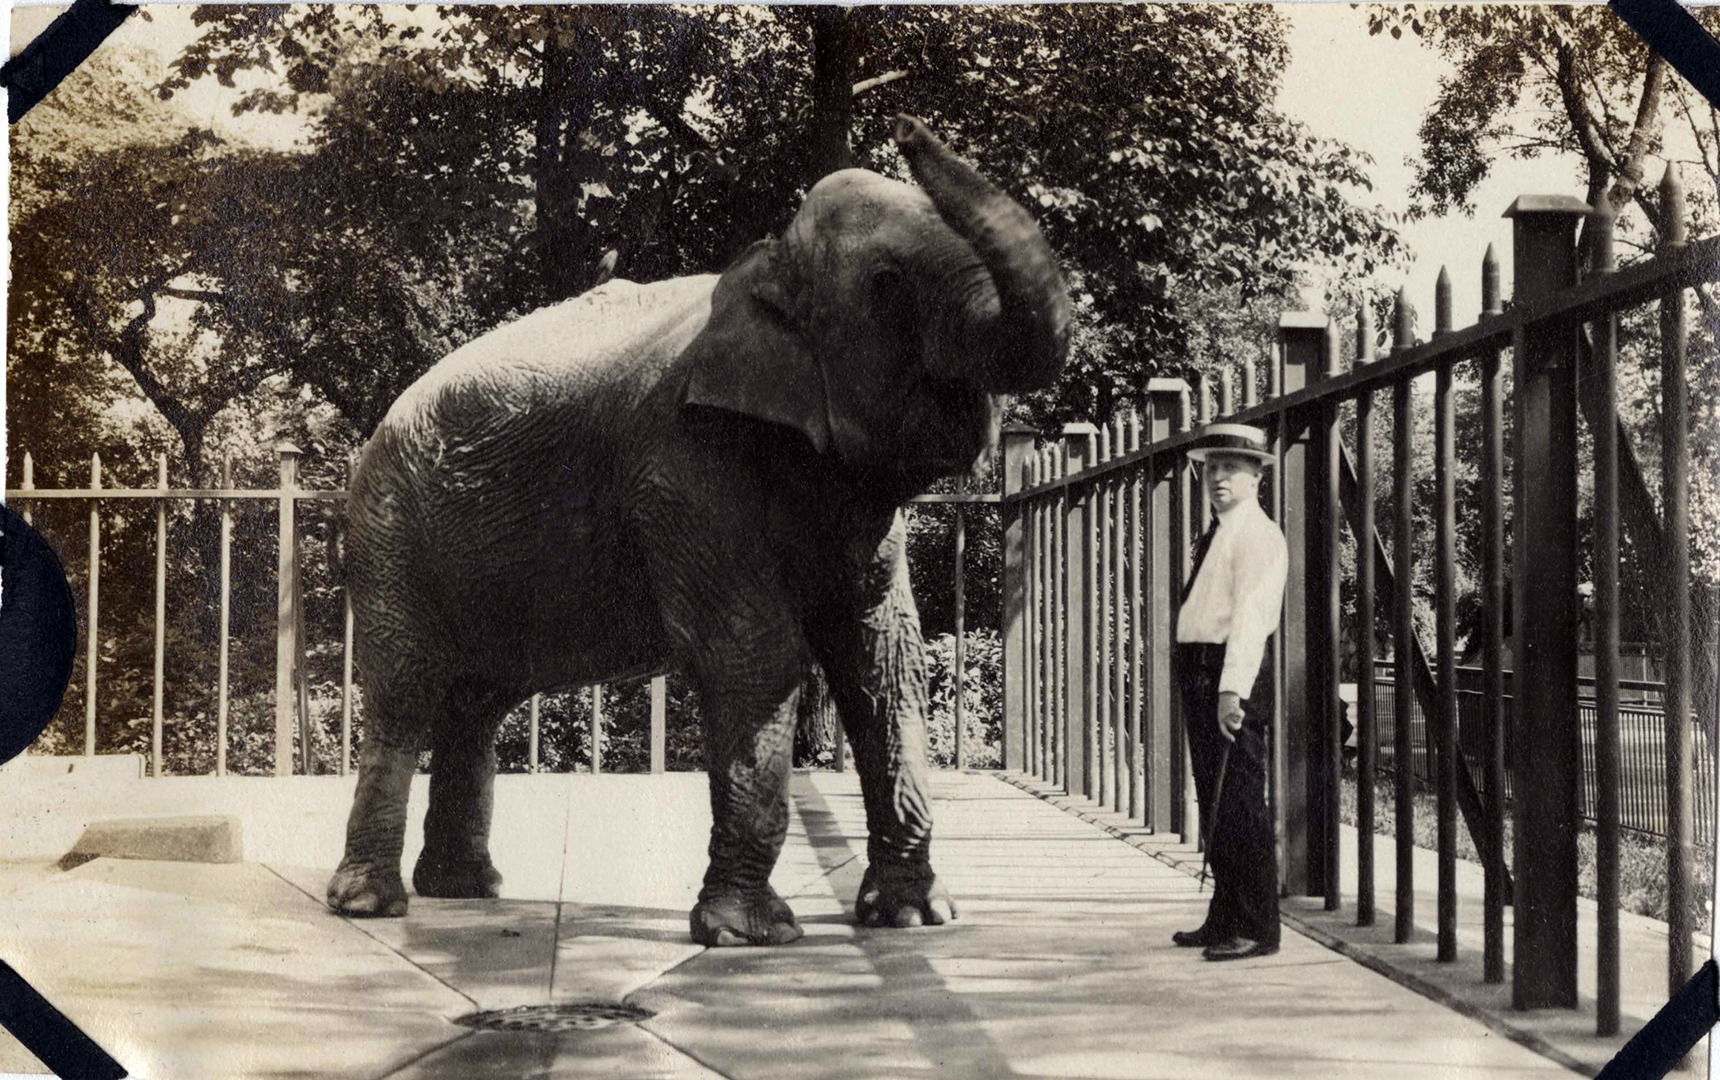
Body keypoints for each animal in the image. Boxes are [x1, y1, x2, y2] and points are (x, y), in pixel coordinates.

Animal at [326, 116, 1070, 947]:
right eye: (887, 286)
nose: (906, 124)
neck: (764, 265)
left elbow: (883, 651)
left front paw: (912, 917)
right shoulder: (681, 469)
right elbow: (751, 649)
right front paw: (750, 935)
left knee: (476, 701)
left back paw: (466, 891)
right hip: (392, 531)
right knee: (406, 690)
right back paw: (371, 904)